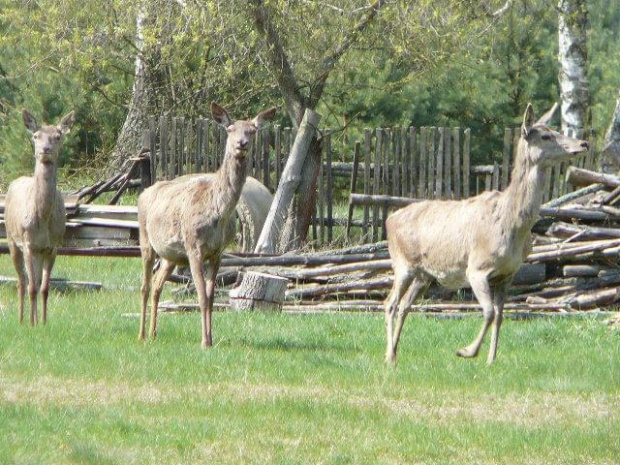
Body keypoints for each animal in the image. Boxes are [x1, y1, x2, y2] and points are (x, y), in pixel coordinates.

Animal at [4, 109, 75, 326]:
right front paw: (32, 324)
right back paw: (21, 319)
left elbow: (44, 288)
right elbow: (32, 287)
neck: (43, 219)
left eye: (58, 136)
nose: (45, 149)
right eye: (36, 136)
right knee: (22, 281)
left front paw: (43, 322)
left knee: (32, 280)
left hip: (38, 251)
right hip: (11, 239)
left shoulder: (52, 246)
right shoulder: (27, 243)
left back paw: (33, 318)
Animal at [140, 101, 276, 348]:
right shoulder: (194, 247)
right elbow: (202, 296)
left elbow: (212, 297)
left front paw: (211, 338)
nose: (241, 143)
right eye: (230, 129)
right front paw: (204, 342)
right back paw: (142, 334)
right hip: (145, 240)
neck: (218, 213)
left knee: (156, 284)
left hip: (171, 255)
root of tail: (143, 192)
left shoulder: (217, 252)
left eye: (252, 130)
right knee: (144, 286)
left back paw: (154, 333)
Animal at [386, 103, 588, 364]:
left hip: (424, 274)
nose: (584, 143)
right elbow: (489, 312)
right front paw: (467, 351)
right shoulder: (476, 268)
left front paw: (491, 359)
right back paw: (388, 356)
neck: (513, 227)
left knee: (404, 305)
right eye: (546, 136)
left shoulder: (508, 273)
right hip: (402, 264)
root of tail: (389, 220)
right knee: (390, 303)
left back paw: (395, 353)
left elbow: (500, 315)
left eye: (555, 129)